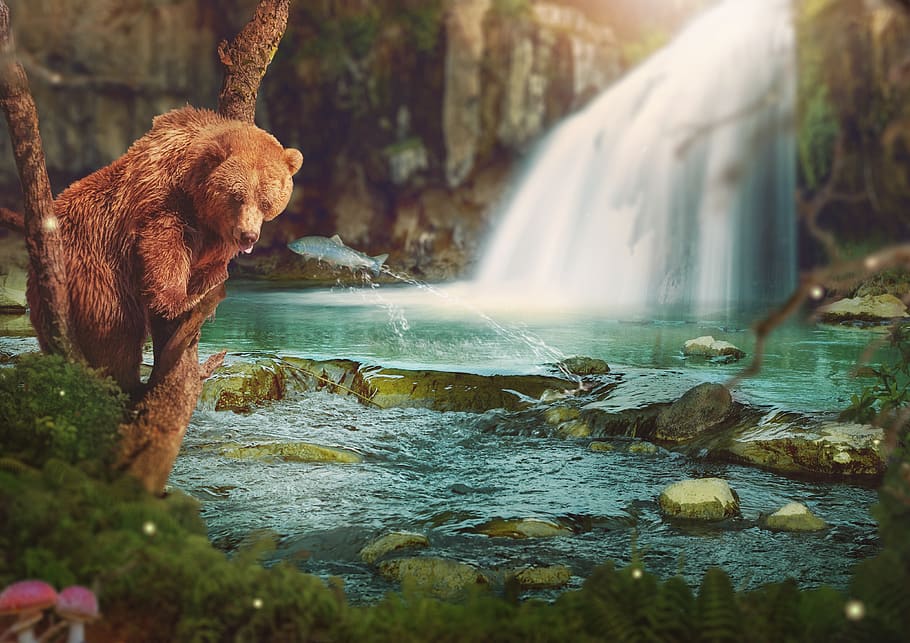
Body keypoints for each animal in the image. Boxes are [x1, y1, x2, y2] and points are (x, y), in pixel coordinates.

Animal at [27, 106, 303, 394]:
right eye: (237, 196)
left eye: (266, 201)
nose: (248, 235)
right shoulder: (161, 200)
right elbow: (164, 248)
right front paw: (183, 301)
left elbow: (211, 262)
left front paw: (210, 286)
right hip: (94, 269)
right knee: (115, 329)